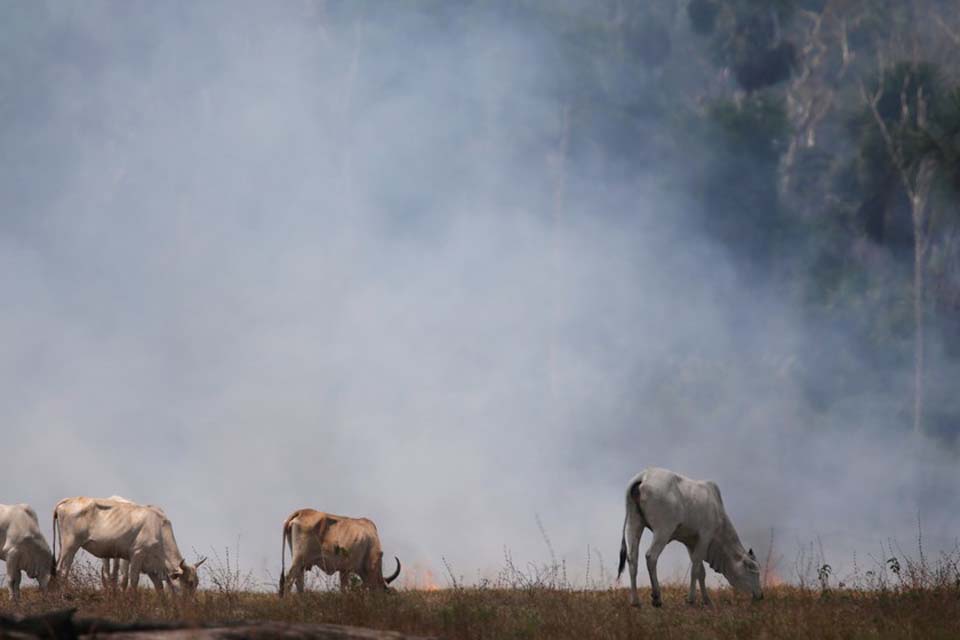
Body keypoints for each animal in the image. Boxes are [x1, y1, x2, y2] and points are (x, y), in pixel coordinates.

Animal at [53, 498, 205, 596]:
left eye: (197, 583)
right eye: (189, 582)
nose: (190, 606)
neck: (159, 530)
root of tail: (67, 500)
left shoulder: (152, 567)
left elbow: (160, 589)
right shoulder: (137, 554)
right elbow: (133, 581)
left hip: (63, 545)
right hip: (70, 544)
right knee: (62, 570)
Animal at [616, 468, 764, 608]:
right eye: (753, 572)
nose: (761, 595)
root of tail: (644, 475)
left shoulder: (690, 542)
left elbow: (701, 572)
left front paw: (707, 600)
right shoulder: (705, 536)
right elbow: (696, 569)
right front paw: (691, 599)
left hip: (634, 523)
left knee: (632, 558)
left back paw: (635, 601)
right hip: (663, 530)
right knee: (651, 556)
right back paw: (657, 597)